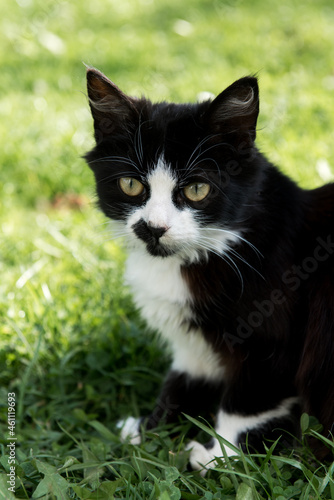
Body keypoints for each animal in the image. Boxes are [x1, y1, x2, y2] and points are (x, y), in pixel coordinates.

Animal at [84, 67, 334, 472]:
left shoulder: (273, 342)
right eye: (131, 184)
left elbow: (244, 406)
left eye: (198, 189)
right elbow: (179, 384)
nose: (154, 228)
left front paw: (219, 458)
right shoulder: (193, 349)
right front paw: (149, 431)